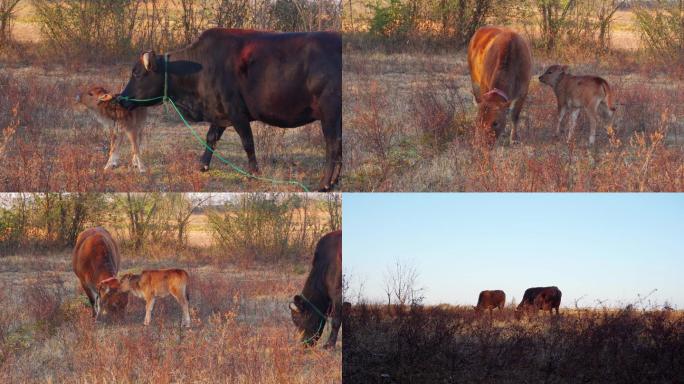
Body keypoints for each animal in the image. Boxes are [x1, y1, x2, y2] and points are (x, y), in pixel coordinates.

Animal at [119, 28, 342, 192]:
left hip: (328, 114)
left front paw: (254, 173)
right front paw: (203, 165)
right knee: (338, 145)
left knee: (332, 146)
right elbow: (211, 137)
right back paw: (334, 182)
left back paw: (324, 184)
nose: (121, 98)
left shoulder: (237, 114)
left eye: (136, 73)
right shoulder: (220, 115)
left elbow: (248, 143)